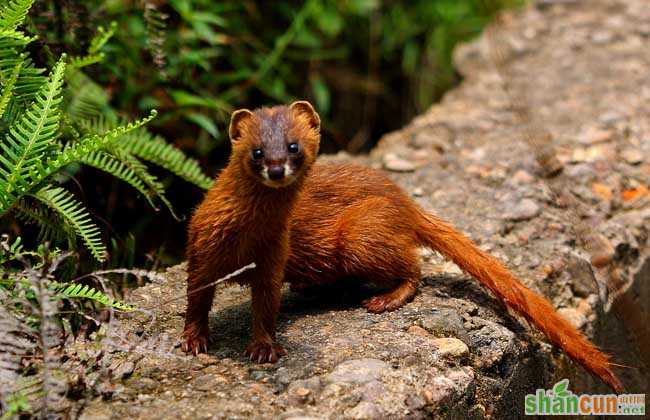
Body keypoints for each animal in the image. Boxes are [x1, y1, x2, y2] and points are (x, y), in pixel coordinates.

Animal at [180, 101, 620, 390]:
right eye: (256, 151)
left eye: (293, 146)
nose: (275, 168)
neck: (246, 236)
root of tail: (403, 199)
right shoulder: (199, 246)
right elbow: (196, 297)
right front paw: (194, 340)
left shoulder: (274, 253)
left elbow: (266, 306)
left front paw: (263, 348)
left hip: (361, 234)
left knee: (412, 268)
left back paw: (385, 298)